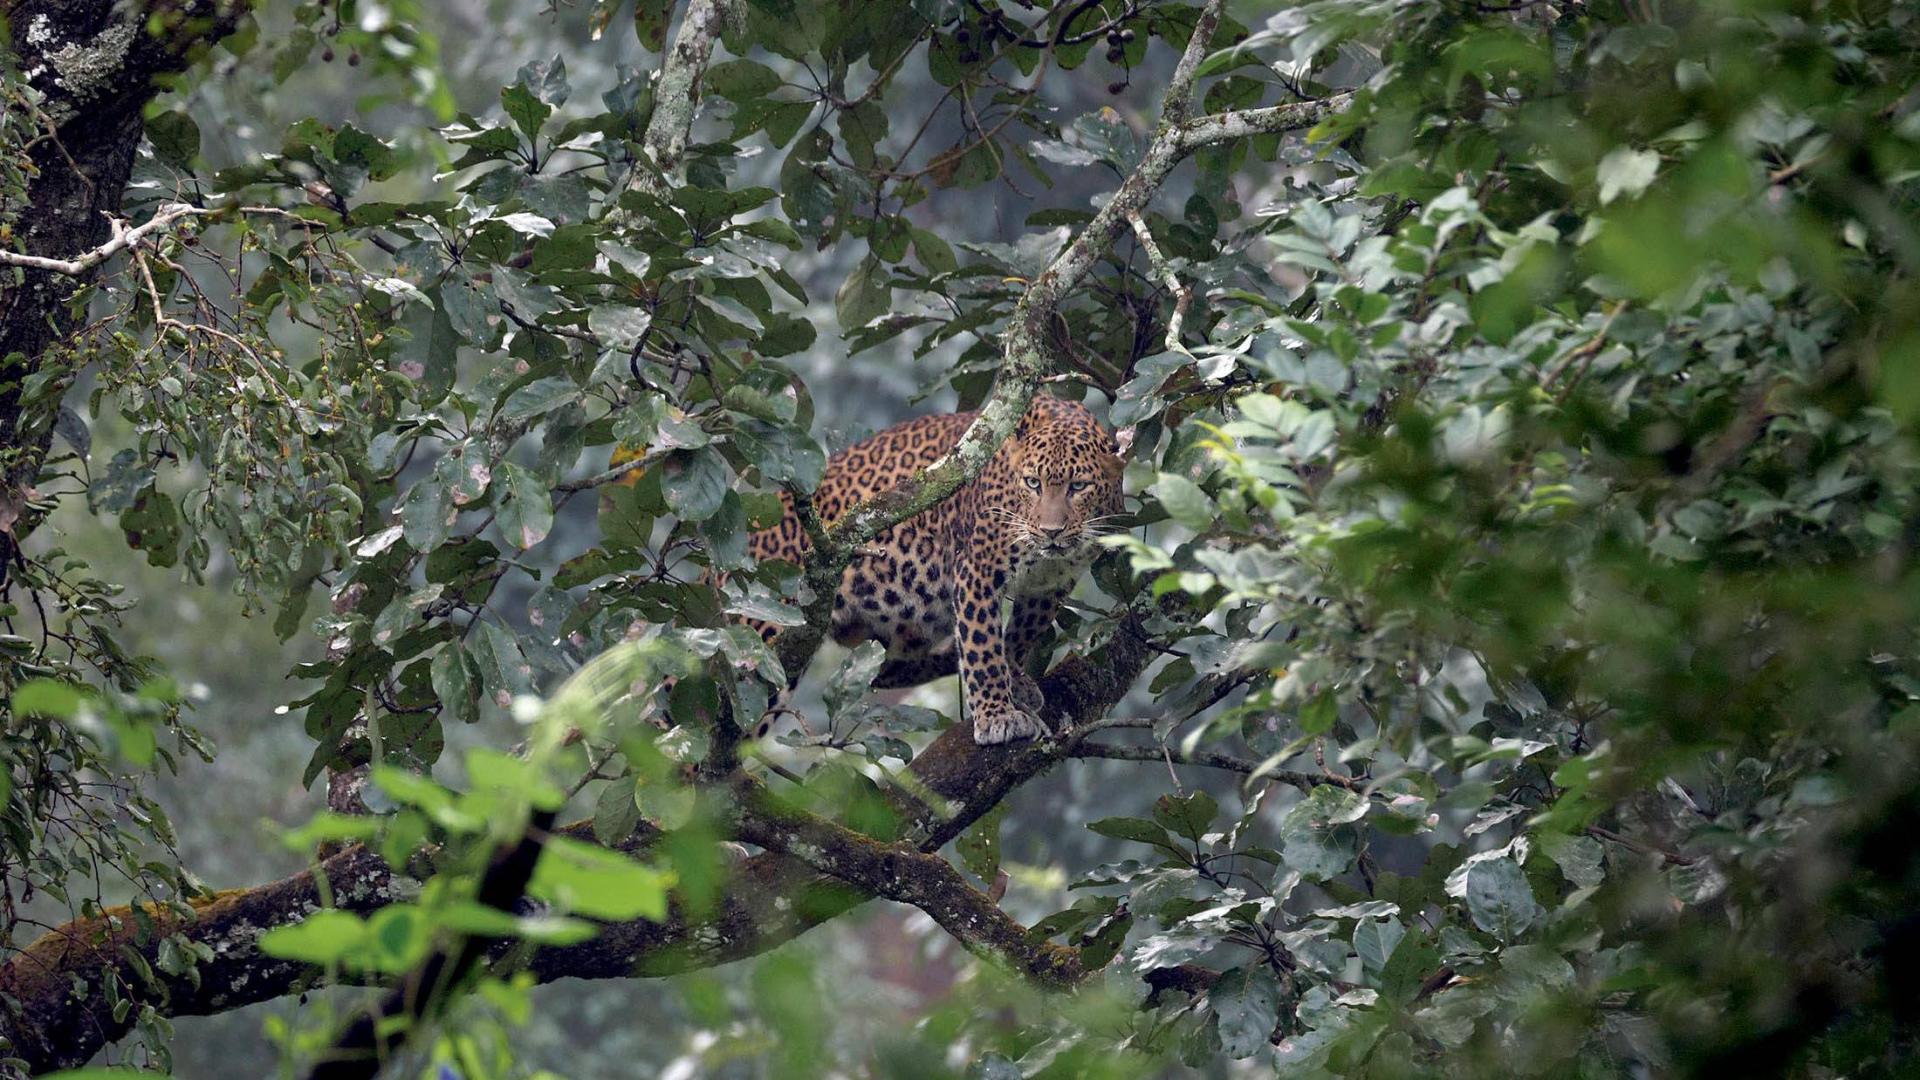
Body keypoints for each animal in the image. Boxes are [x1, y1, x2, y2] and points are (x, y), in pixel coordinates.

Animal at [745, 394, 1125, 745]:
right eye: (1034, 483)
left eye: (1078, 487)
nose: (1050, 531)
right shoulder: (977, 568)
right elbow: (982, 646)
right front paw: (997, 716)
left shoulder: (1049, 585)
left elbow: (1020, 635)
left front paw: (1015, 681)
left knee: (886, 669)